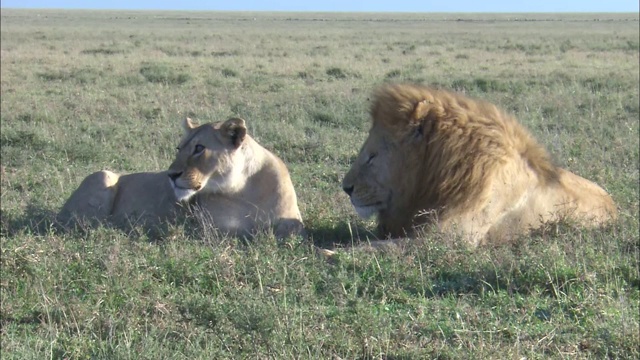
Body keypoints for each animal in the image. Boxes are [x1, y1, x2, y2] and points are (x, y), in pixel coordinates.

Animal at [165, 116, 304, 239]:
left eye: (199, 148)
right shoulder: (209, 227)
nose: (171, 174)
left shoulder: (292, 217)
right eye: (179, 148)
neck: (245, 189)